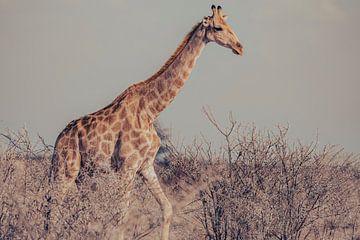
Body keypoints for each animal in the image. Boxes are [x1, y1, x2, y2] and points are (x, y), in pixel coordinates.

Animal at [44, 4, 242, 240]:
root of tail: (60, 138)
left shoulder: (146, 165)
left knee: (79, 212)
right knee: (53, 211)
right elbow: (121, 217)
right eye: (218, 27)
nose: (240, 47)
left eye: (229, 25)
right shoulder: (126, 165)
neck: (151, 110)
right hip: (66, 168)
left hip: (85, 174)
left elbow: (167, 208)